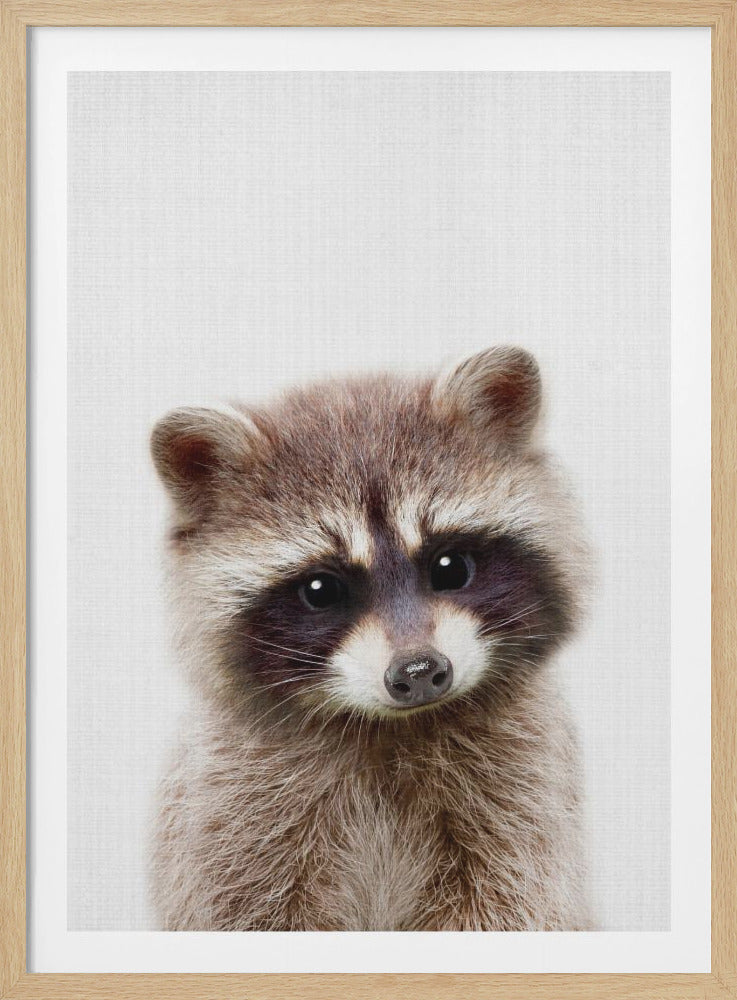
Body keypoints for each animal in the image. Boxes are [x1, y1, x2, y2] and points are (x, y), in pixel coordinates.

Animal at [149, 346, 591, 932]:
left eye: (450, 566)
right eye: (321, 590)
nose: (419, 672)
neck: (389, 728)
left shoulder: (523, 795)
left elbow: (511, 901)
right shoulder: (230, 813)